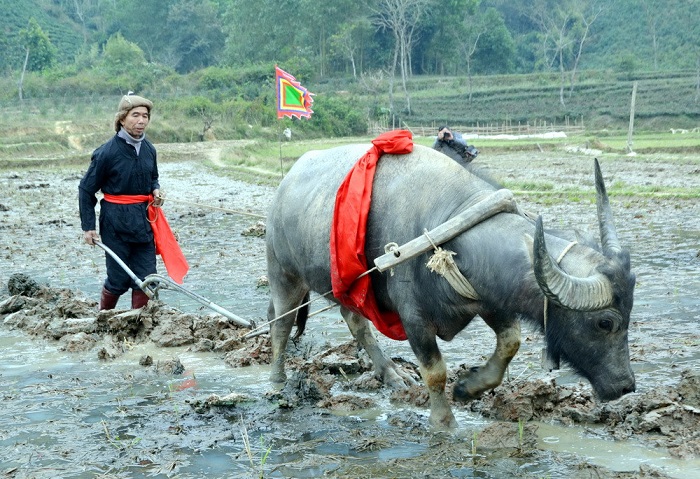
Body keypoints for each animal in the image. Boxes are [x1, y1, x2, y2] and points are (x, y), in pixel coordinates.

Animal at [266, 142, 636, 428]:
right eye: (605, 322)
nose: (626, 386)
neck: (450, 225)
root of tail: (285, 183)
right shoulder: (413, 317)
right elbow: (435, 372)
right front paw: (444, 422)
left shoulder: (489, 298)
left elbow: (510, 343)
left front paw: (468, 388)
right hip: (283, 274)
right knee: (281, 326)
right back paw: (276, 382)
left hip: (344, 289)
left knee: (356, 322)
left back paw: (391, 374)